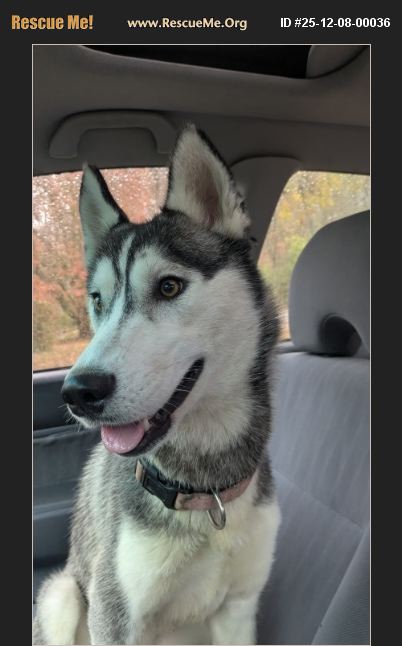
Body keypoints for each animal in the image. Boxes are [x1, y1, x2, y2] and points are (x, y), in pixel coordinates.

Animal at [33, 125, 281, 645]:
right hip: (62, 594)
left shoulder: (239, 608)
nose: (79, 392)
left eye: (169, 286)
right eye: (98, 300)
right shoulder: (114, 613)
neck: (205, 490)